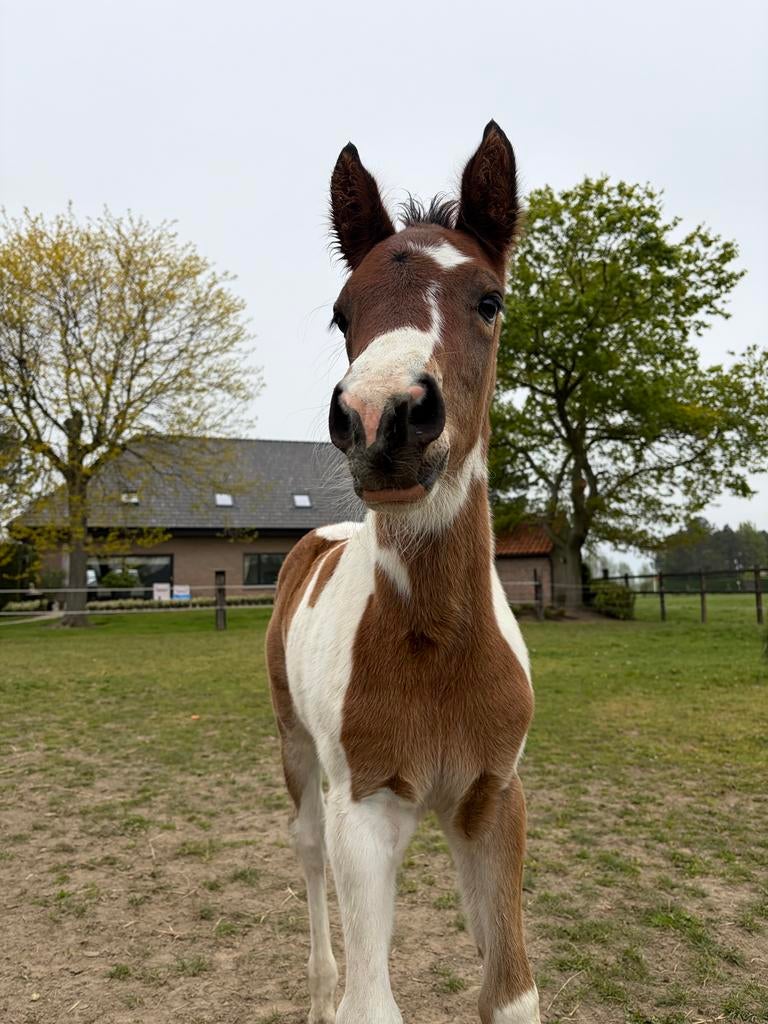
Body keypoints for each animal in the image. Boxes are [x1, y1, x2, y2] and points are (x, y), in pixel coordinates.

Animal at [266, 121, 539, 1024]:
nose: (381, 417)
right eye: (341, 312)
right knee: (308, 856)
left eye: (489, 300)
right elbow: (371, 1002)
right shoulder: (366, 808)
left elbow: (510, 991)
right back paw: (317, 989)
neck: (440, 645)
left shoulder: (495, 797)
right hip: (297, 749)